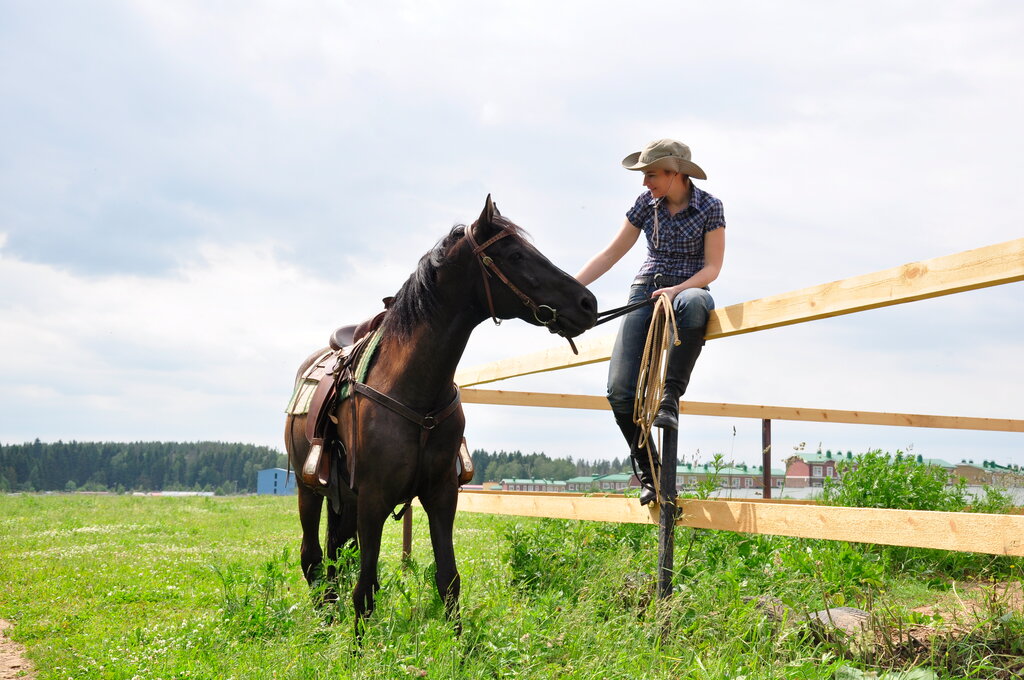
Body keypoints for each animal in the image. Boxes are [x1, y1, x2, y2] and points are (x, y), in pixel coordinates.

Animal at [284, 195, 598, 630]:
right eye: (516, 254)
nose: (588, 303)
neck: (417, 392)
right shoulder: (373, 498)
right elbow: (364, 588)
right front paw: (358, 645)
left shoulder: (440, 495)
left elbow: (448, 579)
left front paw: (459, 642)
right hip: (309, 489)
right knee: (313, 558)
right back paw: (324, 623)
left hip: (341, 498)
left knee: (334, 556)